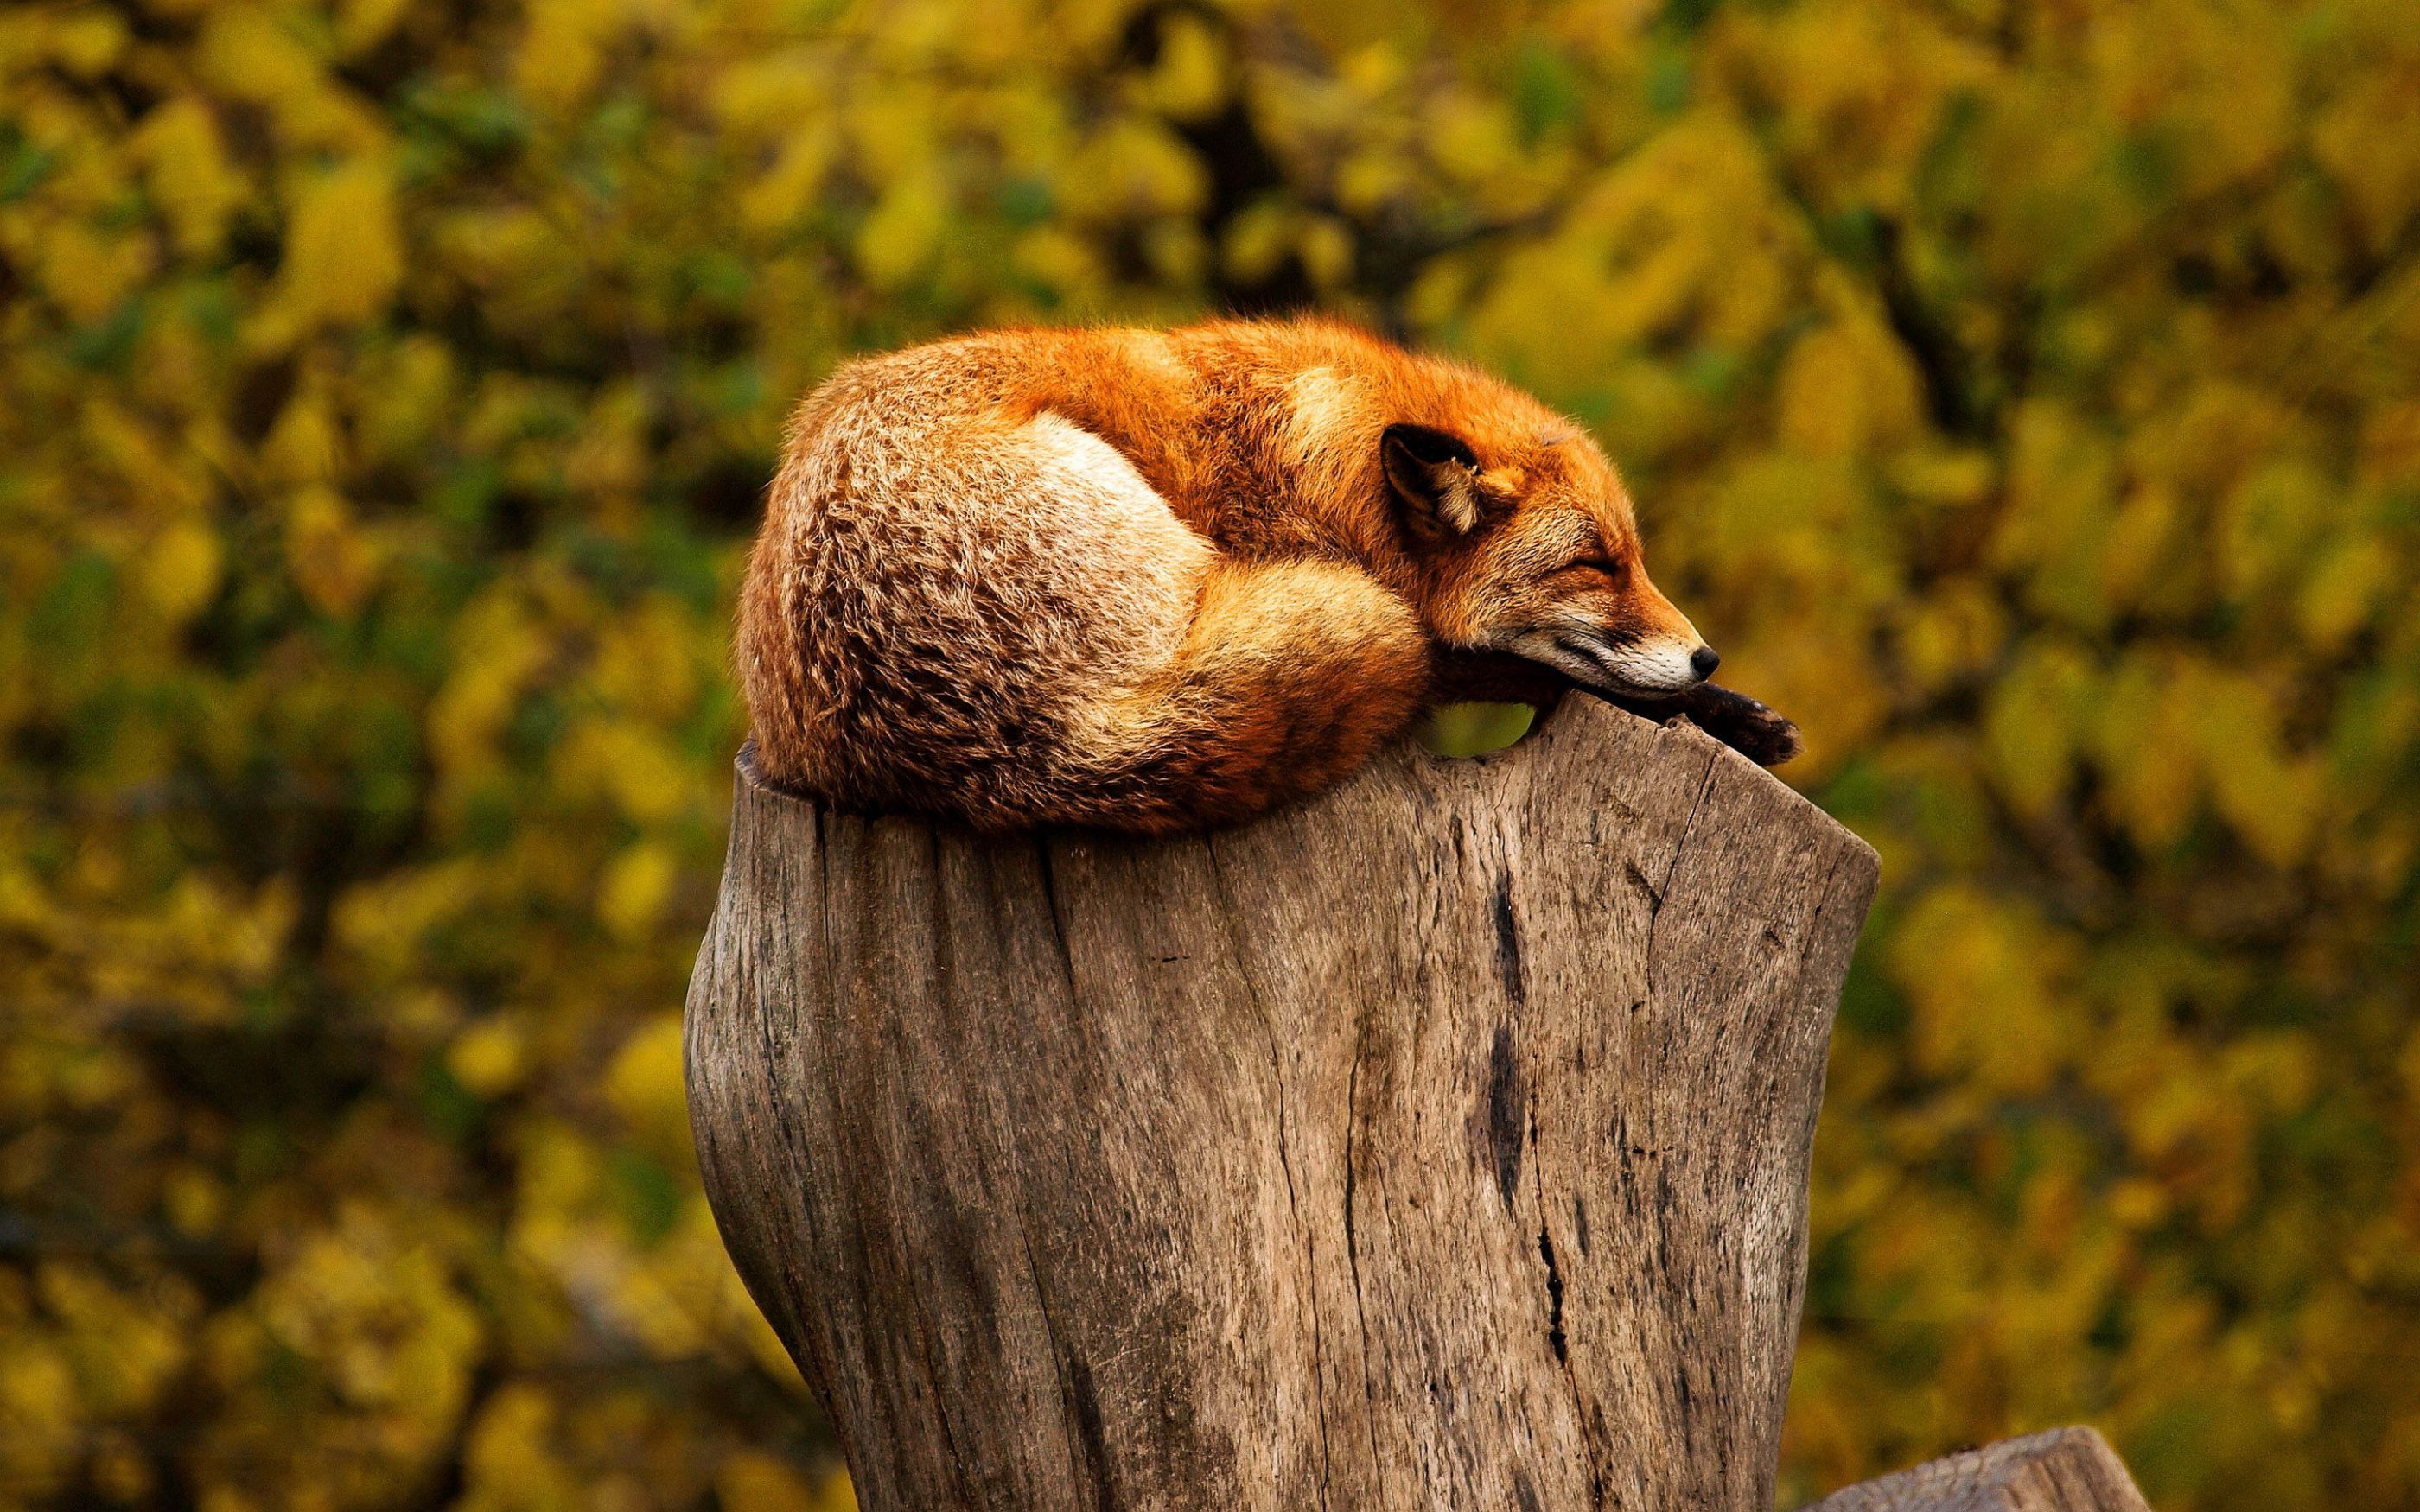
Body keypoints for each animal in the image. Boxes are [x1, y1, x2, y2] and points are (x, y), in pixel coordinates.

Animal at [737, 318, 1798, 835]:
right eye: (1593, 565)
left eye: (1636, 558)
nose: (1706, 656)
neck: (1320, 469)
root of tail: (1034, 746)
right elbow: (1512, 668)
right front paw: (1719, 711)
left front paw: (1733, 712)